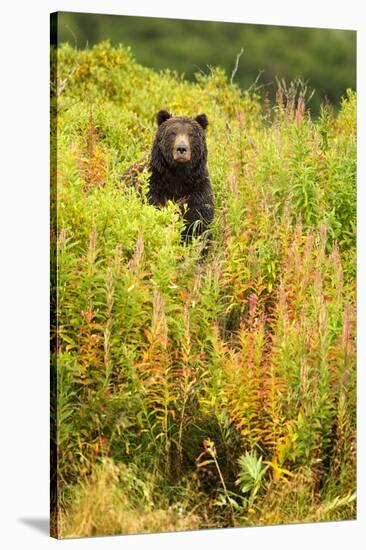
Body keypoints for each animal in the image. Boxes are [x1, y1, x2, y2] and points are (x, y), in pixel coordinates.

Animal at [122, 110, 214, 246]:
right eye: (173, 133)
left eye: (191, 134)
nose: (181, 148)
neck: (177, 175)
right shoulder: (153, 184)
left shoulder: (198, 188)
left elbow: (199, 223)